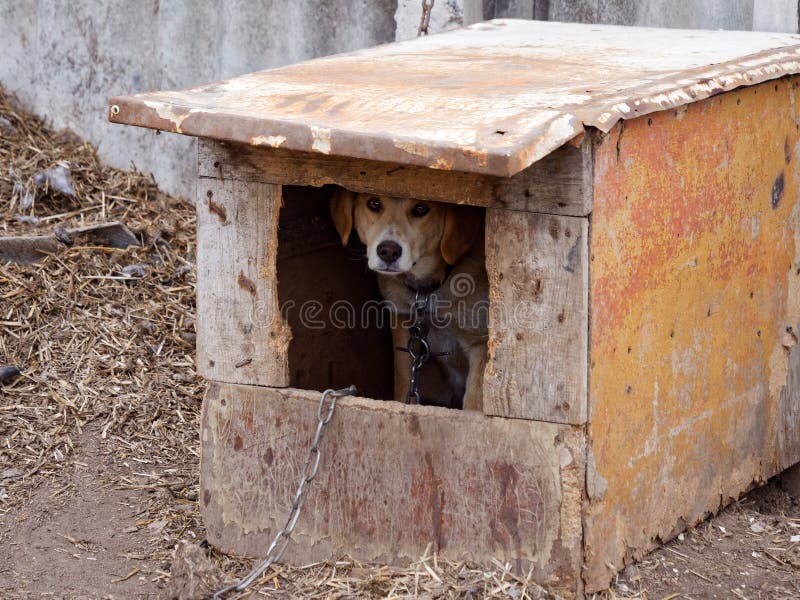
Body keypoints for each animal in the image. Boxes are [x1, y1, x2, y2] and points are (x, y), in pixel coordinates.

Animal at [330, 190, 488, 410]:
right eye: (374, 203)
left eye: (421, 208)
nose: (388, 251)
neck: (426, 292)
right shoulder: (403, 329)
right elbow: (405, 384)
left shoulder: (481, 344)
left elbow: (473, 405)